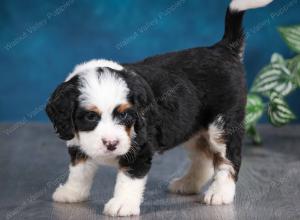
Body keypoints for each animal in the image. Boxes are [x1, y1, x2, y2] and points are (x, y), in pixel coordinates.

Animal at [45, 0, 274, 217]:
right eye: (91, 117)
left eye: (125, 115)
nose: (111, 144)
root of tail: (222, 48)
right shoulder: (77, 143)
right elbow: (79, 171)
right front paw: (72, 193)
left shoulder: (139, 147)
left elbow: (129, 178)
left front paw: (122, 205)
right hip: (192, 127)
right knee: (203, 159)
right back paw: (187, 184)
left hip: (223, 126)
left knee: (229, 159)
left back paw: (220, 193)